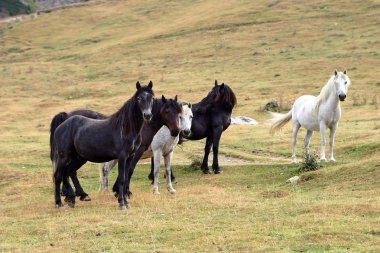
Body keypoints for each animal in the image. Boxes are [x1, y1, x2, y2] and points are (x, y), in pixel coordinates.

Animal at [51, 81, 154, 210]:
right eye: (139, 98)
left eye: (152, 98)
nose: (147, 115)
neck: (125, 128)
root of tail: (62, 125)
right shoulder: (122, 157)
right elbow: (122, 179)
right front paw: (121, 203)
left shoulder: (130, 157)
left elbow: (125, 179)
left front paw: (126, 202)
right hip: (64, 156)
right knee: (58, 176)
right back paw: (59, 203)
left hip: (78, 159)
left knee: (67, 173)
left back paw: (73, 199)